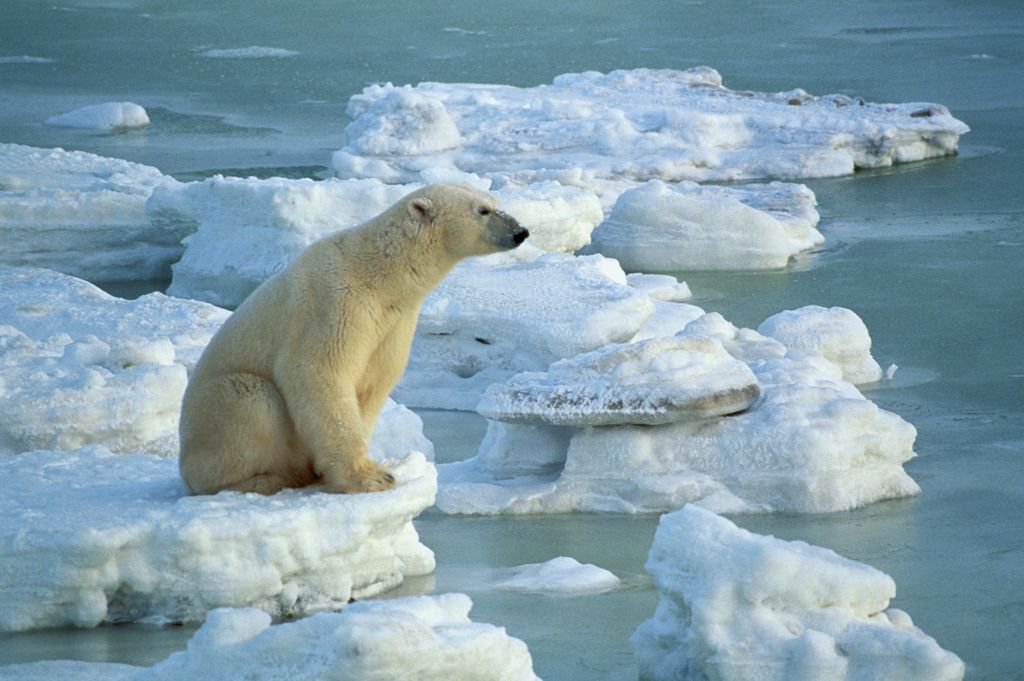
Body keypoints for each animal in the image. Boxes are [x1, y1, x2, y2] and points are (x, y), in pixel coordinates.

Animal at [179, 184, 529, 495]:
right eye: (482, 210)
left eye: (495, 203)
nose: (521, 231)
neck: (376, 272)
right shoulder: (335, 305)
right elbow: (318, 373)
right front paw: (371, 477)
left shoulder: (394, 323)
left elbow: (374, 381)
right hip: (213, 414)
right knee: (251, 400)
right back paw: (262, 480)